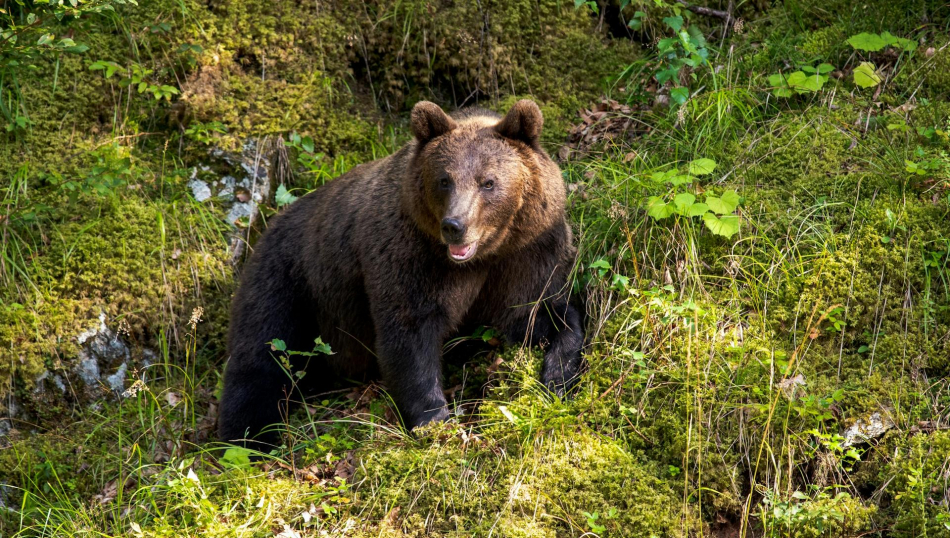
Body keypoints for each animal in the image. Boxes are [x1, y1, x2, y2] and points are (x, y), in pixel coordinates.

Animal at [219, 98, 584, 446]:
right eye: (444, 180)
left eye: (488, 182)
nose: (454, 225)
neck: (483, 256)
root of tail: (271, 224)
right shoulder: (410, 255)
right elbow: (410, 333)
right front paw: (435, 420)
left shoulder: (526, 254)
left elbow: (537, 314)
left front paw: (558, 376)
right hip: (289, 280)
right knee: (262, 355)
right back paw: (249, 438)